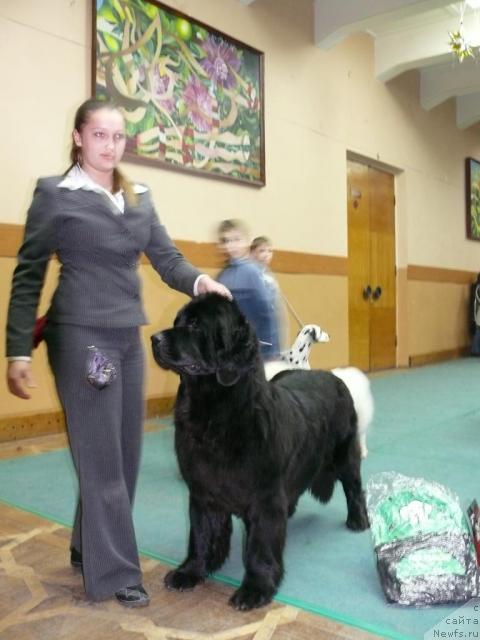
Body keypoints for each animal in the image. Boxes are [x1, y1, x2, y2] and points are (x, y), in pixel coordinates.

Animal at [264, 324, 374, 460]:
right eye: (321, 331)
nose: (330, 335)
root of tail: (359, 374)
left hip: (360, 413)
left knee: (361, 434)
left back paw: (362, 451)